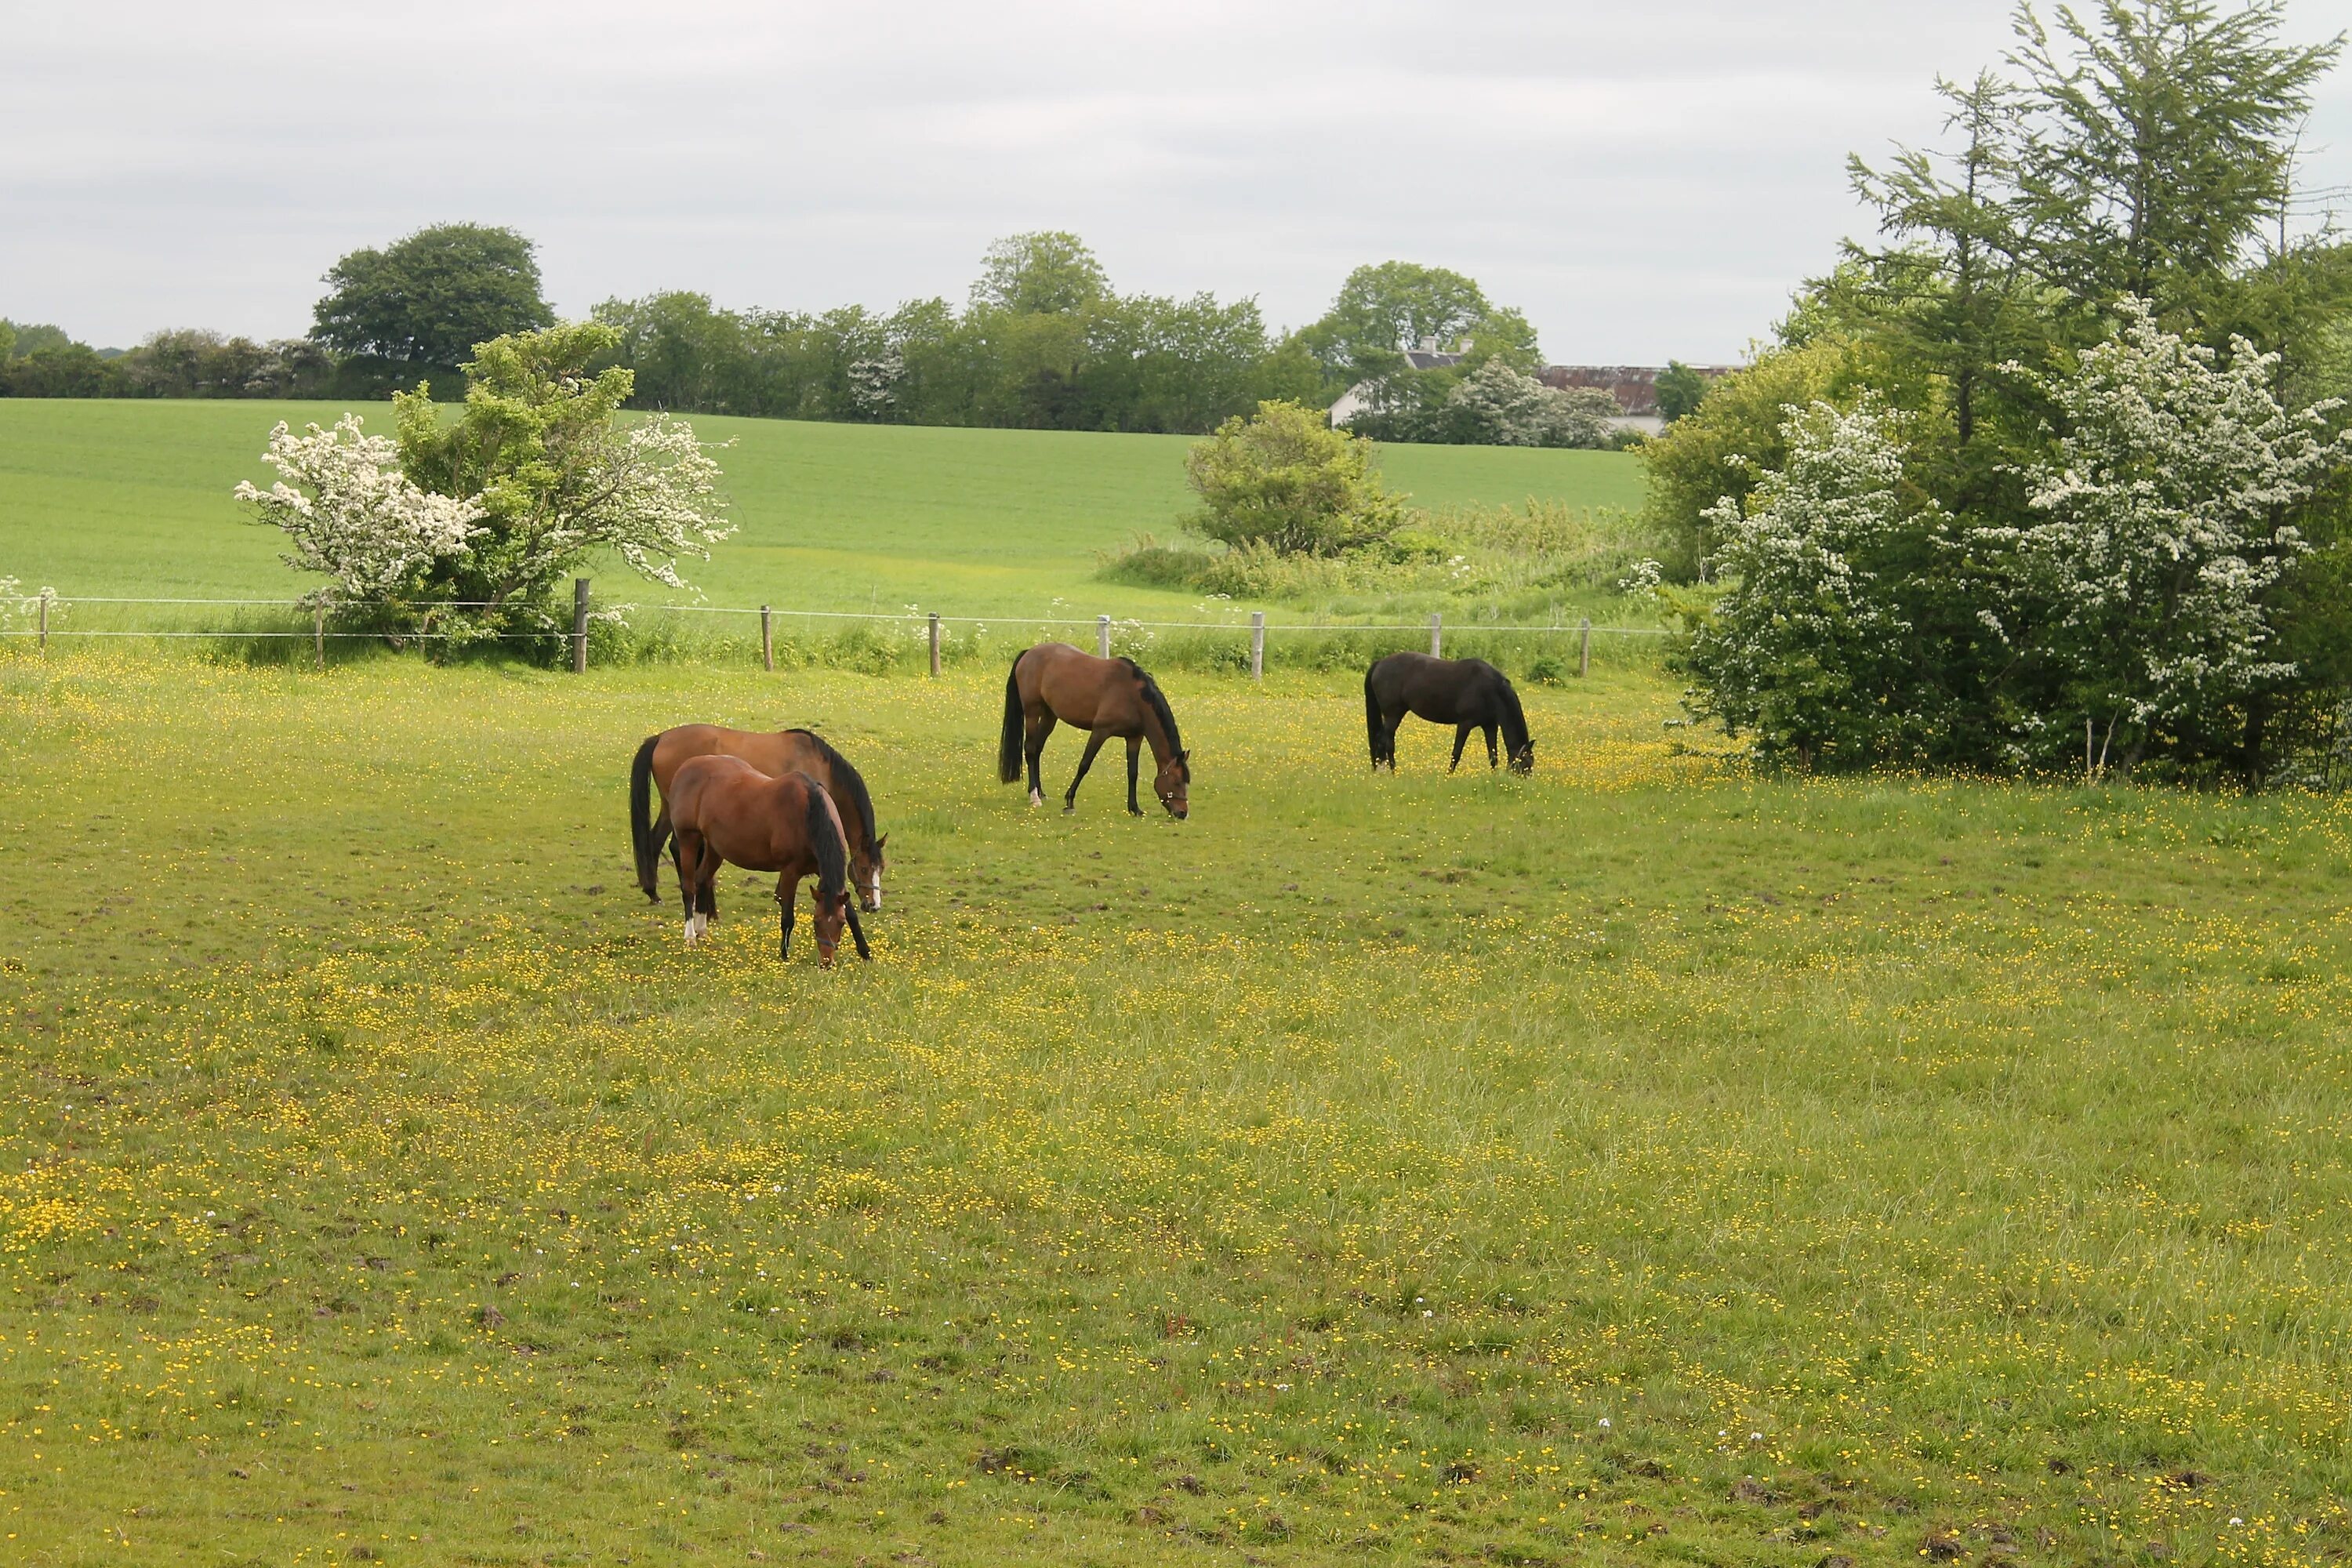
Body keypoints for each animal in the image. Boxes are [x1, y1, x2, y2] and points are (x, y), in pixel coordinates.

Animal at [630, 728, 884, 912]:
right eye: (863, 868)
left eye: (880, 868)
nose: (873, 905)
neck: (820, 764)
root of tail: (661, 737)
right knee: (674, 846)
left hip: (669, 807)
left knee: (656, 842)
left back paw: (654, 893)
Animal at [668, 761, 870, 968]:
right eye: (816, 921)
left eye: (841, 923)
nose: (826, 963)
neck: (809, 814)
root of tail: (685, 767)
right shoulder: (790, 872)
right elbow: (788, 918)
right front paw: (784, 955)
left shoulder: (821, 871)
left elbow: (852, 913)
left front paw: (865, 952)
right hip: (688, 839)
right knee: (689, 887)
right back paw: (690, 937)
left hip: (714, 848)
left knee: (702, 880)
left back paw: (702, 931)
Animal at [1002, 639, 1195, 818]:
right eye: (1176, 781)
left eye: (1187, 782)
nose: (1183, 813)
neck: (1132, 696)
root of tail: (1029, 653)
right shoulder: (1100, 732)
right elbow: (1084, 765)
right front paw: (1070, 801)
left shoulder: (1134, 738)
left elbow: (1133, 773)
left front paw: (1135, 808)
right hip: (1032, 711)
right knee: (1030, 749)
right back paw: (1034, 796)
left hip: (1050, 716)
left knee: (1037, 749)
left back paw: (1041, 792)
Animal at [1374, 648, 1534, 771]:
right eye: (1525, 764)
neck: (1489, 689)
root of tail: (1380, 663)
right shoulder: (1465, 724)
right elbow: (1456, 753)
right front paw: (1448, 775)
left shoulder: (1490, 726)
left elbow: (1493, 756)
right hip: (1393, 715)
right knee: (1388, 744)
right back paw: (1393, 772)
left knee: (1380, 742)